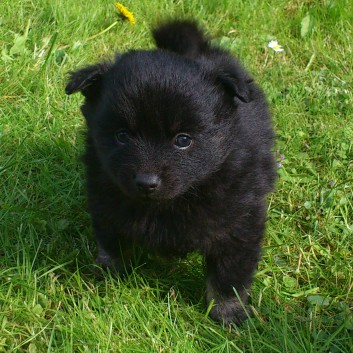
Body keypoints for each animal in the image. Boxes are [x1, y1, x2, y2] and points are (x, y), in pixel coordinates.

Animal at [65, 20, 276, 324]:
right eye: (121, 136)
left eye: (183, 140)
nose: (146, 182)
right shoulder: (106, 200)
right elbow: (111, 245)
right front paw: (109, 279)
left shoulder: (239, 224)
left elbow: (228, 274)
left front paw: (228, 313)